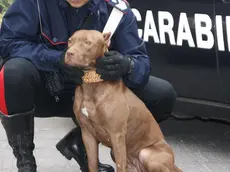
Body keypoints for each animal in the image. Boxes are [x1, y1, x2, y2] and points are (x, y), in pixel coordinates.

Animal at [64, 29, 181, 172]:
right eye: (70, 41)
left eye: (88, 43)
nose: (69, 53)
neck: (91, 84)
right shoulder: (87, 134)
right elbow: (92, 164)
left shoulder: (117, 135)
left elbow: (120, 166)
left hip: (147, 154)